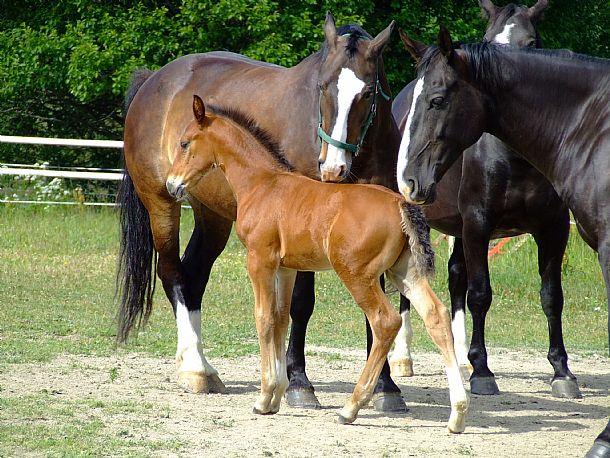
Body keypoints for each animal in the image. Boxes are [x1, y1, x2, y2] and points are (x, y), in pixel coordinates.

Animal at [117, 15, 404, 408]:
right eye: (322, 87)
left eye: (367, 93)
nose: (332, 169)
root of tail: (153, 81)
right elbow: (300, 304)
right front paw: (298, 383)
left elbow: (372, 310)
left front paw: (385, 386)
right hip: (161, 202)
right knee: (172, 272)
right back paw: (195, 369)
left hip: (212, 214)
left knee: (194, 276)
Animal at [164, 95, 468, 432]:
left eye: (185, 143)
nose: (172, 185)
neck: (262, 183)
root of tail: (400, 202)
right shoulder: (287, 268)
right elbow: (281, 319)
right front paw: (277, 396)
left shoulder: (259, 260)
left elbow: (264, 319)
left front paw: (264, 397)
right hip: (403, 272)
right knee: (436, 316)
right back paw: (458, 413)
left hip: (357, 274)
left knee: (385, 322)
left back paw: (351, 407)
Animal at [396, 27, 604, 458]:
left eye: (437, 100)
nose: (409, 177)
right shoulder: (478, 223)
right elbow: (481, 295)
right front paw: (483, 372)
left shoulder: (553, 229)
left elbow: (551, 297)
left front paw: (562, 371)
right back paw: (403, 358)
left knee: (455, 277)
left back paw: (458, 356)